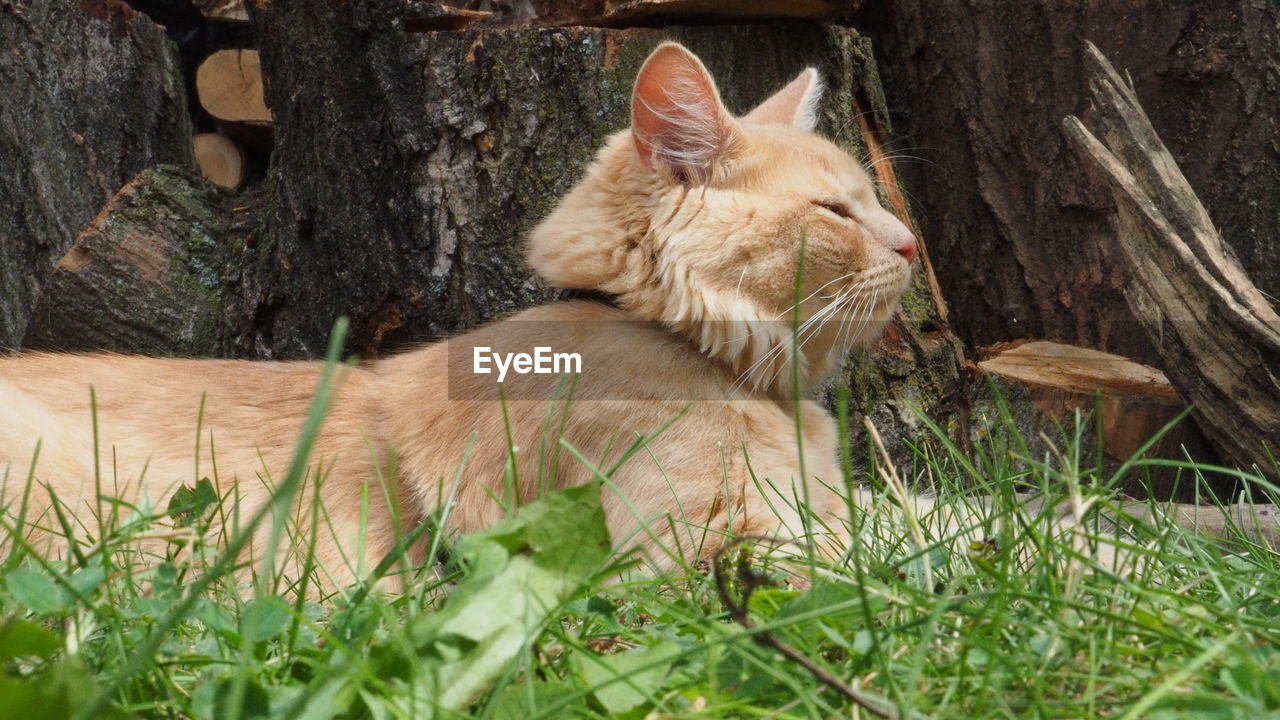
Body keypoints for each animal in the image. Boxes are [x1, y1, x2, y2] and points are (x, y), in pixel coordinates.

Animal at [0, 43, 921, 589]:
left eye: (873, 200)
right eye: (835, 213)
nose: (912, 244)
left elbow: (925, 516)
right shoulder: (720, 543)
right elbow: (903, 564)